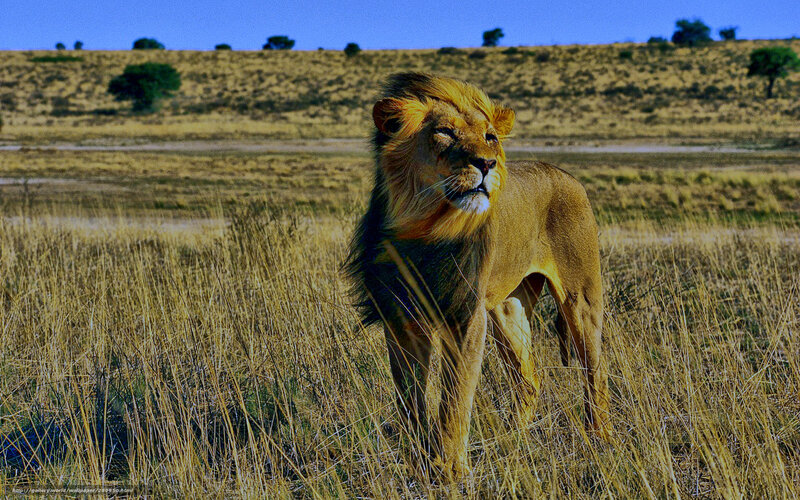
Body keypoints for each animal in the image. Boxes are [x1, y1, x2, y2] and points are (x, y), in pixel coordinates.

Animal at [345, 72, 611, 476]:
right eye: (444, 132)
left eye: (490, 137)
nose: (486, 164)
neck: (424, 228)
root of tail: (566, 175)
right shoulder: (401, 319)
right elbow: (410, 400)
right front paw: (419, 464)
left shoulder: (466, 315)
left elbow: (455, 400)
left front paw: (450, 471)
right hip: (508, 310)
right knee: (529, 381)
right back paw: (511, 441)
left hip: (580, 299)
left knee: (595, 370)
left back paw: (600, 439)